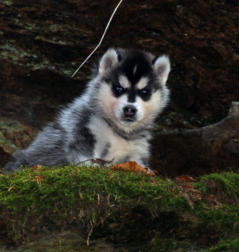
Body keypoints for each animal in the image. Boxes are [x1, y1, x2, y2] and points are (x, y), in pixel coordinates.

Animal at [4, 48, 171, 172]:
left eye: (144, 92)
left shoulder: (137, 152)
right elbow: (84, 159)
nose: (130, 109)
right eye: (118, 89)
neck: (118, 131)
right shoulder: (84, 131)